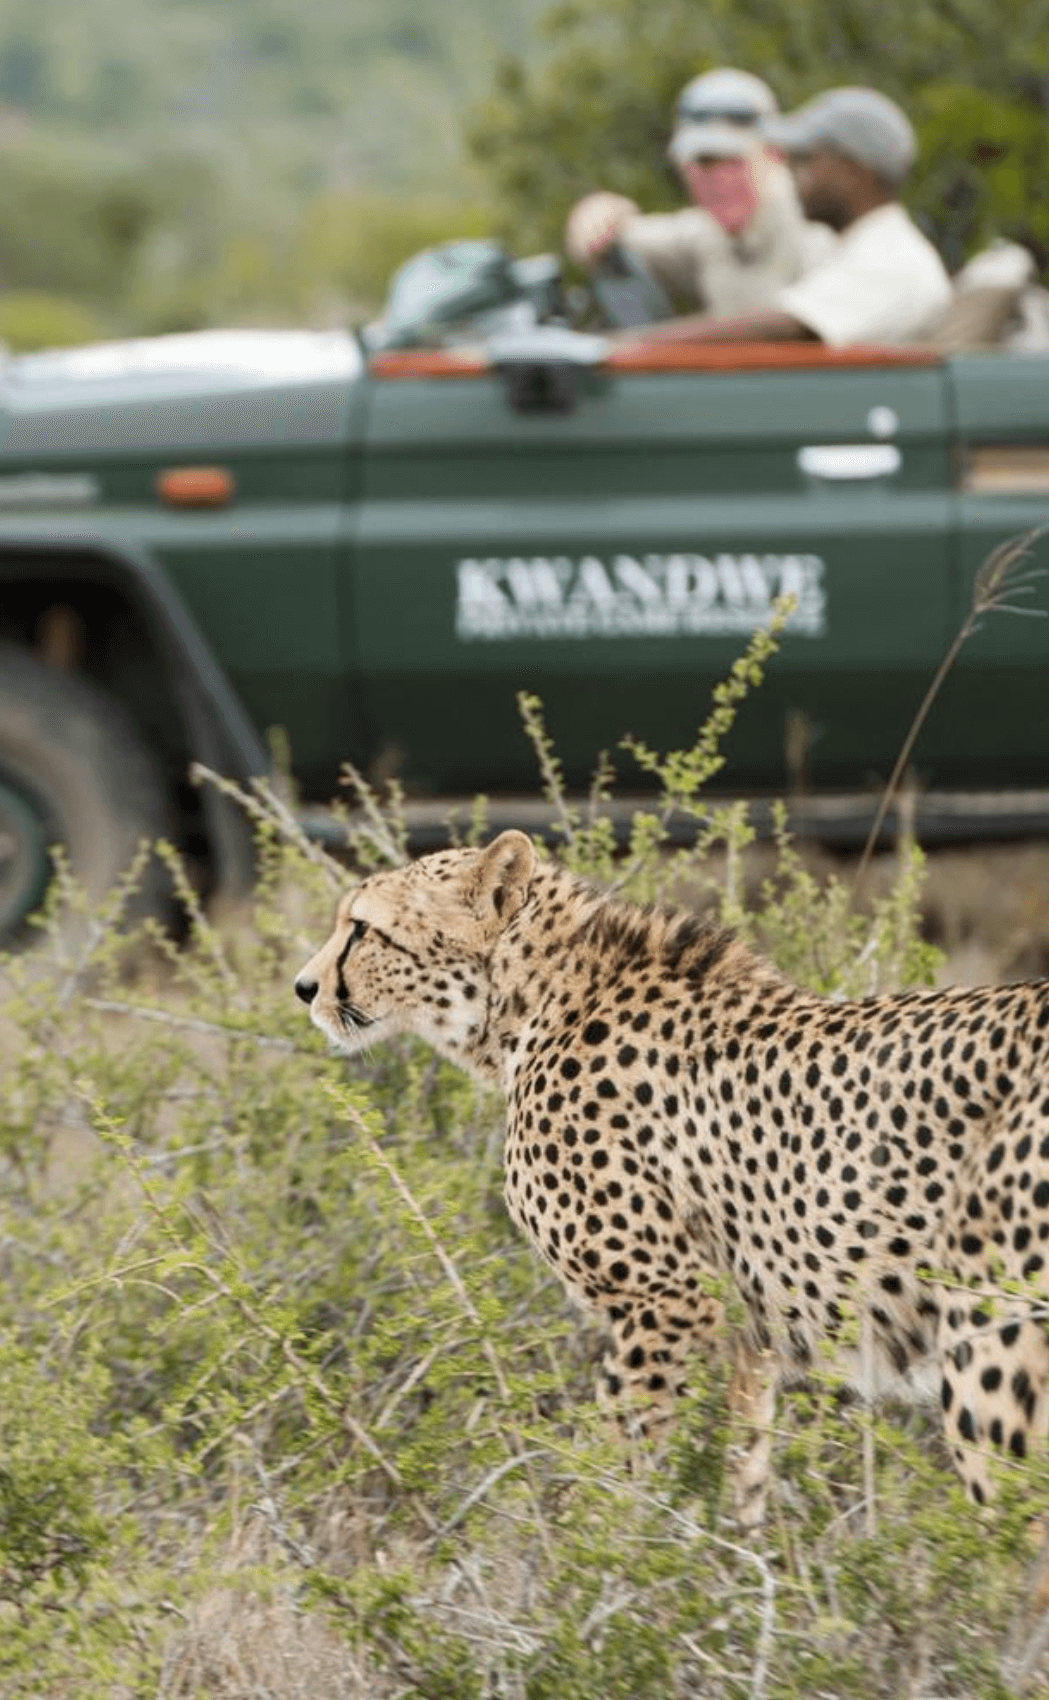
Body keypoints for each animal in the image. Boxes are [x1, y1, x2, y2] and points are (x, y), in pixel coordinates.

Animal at [292, 833, 1047, 1530]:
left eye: (362, 928)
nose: (304, 988)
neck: (528, 1004)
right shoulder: (746, 1337)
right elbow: (741, 1478)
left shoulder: (665, 1298)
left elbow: (622, 1461)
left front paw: (594, 1567)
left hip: (988, 1336)